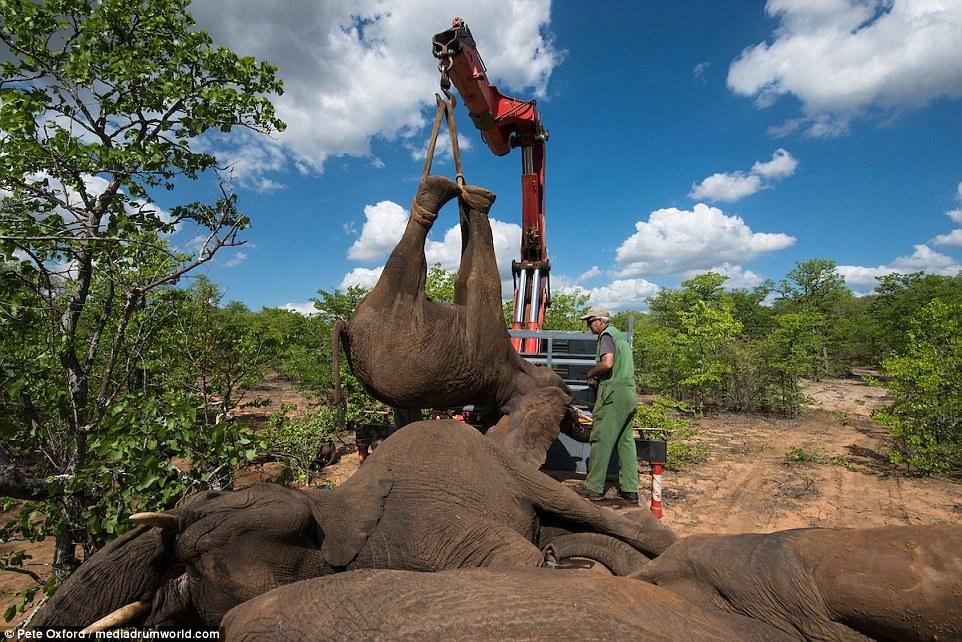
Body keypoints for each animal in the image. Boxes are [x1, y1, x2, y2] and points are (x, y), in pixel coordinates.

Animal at [33, 418, 672, 628]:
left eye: (194, 550)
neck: (327, 507)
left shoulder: (424, 530)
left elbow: (516, 565)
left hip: (510, 464)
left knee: (579, 511)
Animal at [332, 175, 568, 464]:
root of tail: (347, 326)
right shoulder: (489, 341)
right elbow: (477, 279)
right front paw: (475, 196)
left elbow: (473, 279)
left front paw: (472, 197)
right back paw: (444, 187)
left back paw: (439, 189)